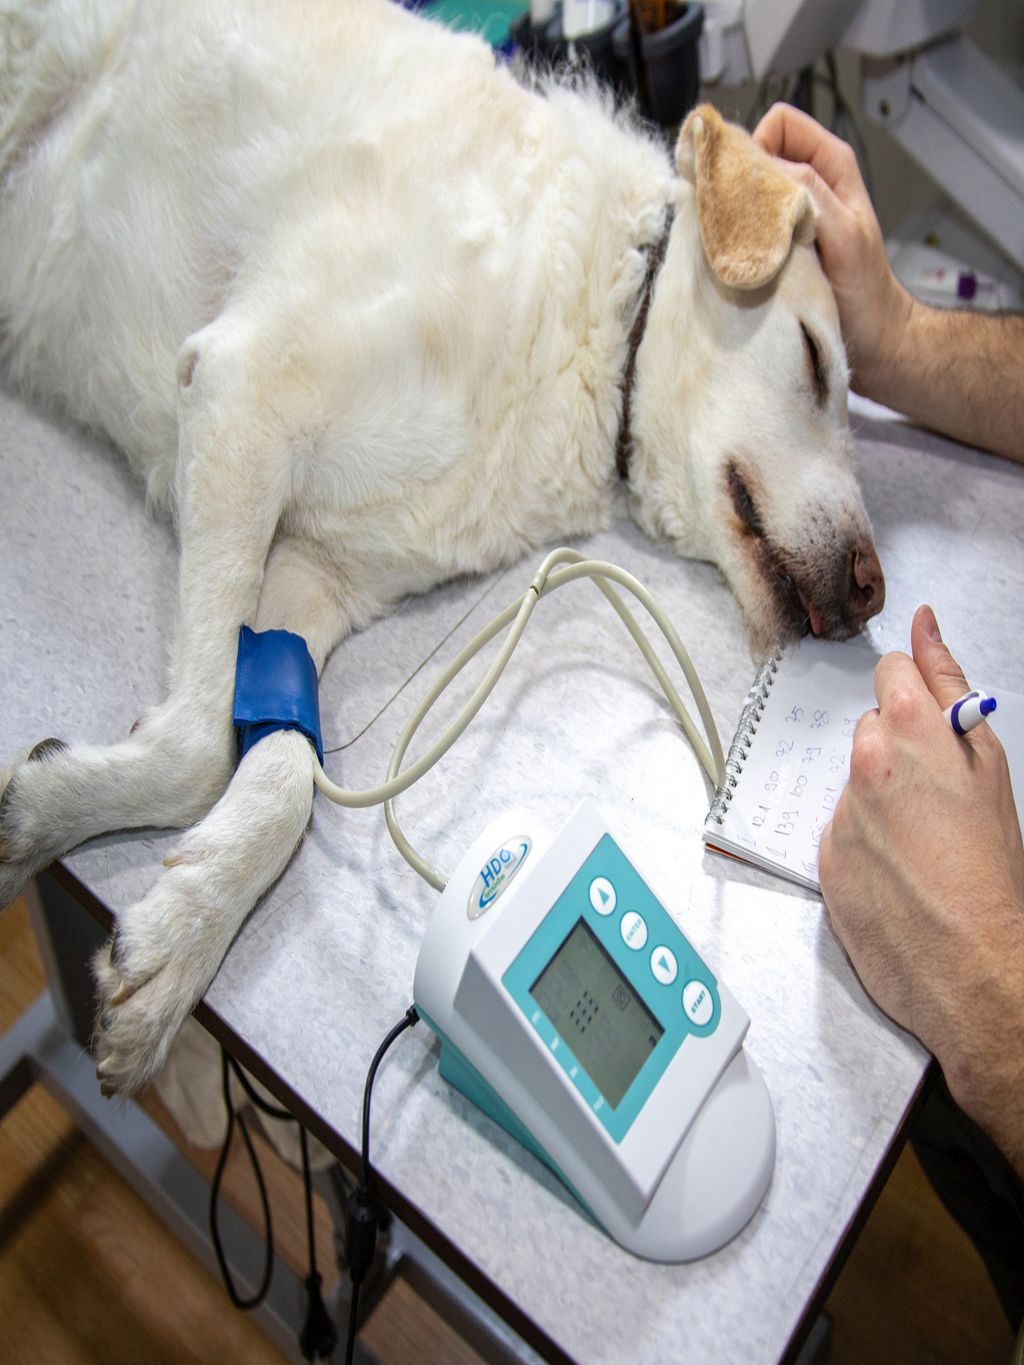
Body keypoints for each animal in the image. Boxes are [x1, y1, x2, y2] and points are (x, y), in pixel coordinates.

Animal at [0, 0, 884, 1096]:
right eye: (813, 360)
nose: (876, 590)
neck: (596, 321)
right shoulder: (243, 395)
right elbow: (199, 746)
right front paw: (50, 821)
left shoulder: (311, 578)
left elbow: (281, 772)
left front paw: (172, 934)